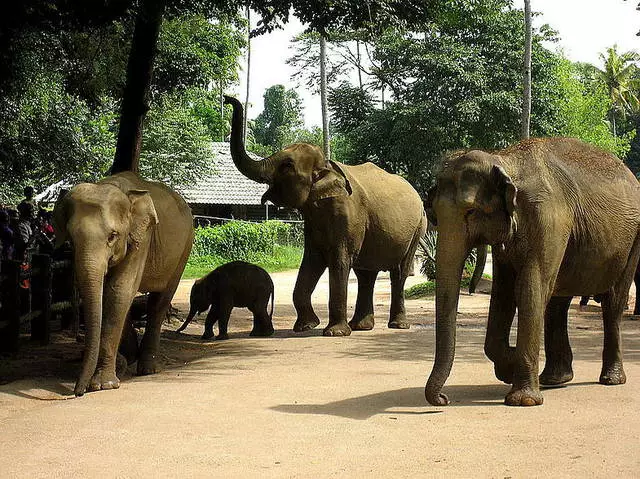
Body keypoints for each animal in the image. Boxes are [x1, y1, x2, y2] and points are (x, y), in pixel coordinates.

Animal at [53, 172, 192, 398]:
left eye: (112, 236)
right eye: (71, 240)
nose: (78, 392)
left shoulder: (142, 238)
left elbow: (119, 291)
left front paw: (104, 384)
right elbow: (111, 294)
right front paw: (120, 365)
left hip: (184, 250)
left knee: (160, 301)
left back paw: (147, 369)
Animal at [222, 96, 428, 338]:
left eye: (287, 166)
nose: (226, 98)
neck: (328, 166)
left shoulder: (347, 215)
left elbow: (339, 260)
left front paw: (334, 333)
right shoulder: (313, 221)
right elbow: (311, 260)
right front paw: (306, 326)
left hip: (418, 228)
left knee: (399, 273)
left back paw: (396, 325)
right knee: (365, 274)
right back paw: (361, 326)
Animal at [424, 138, 640, 408]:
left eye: (471, 211)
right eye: (434, 212)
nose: (444, 399)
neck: (504, 159)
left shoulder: (548, 217)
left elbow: (528, 289)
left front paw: (522, 399)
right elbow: (503, 294)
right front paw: (508, 366)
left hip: (633, 242)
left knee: (612, 302)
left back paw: (610, 380)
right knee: (556, 301)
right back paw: (555, 379)